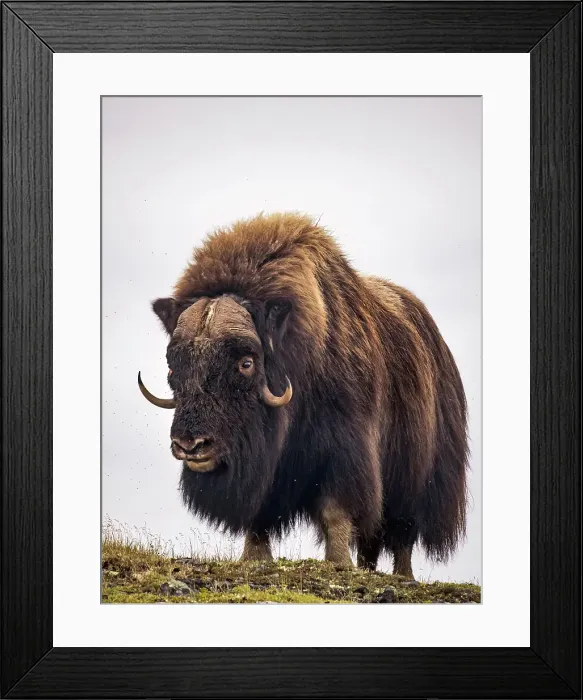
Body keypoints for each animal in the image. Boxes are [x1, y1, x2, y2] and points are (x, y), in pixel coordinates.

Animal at [138, 212, 469, 577]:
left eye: (246, 363)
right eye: (173, 365)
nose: (191, 445)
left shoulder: (346, 451)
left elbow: (336, 510)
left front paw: (337, 562)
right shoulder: (266, 466)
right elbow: (260, 512)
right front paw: (254, 558)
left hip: (417, 479)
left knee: (401, 532)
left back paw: (402, 576)